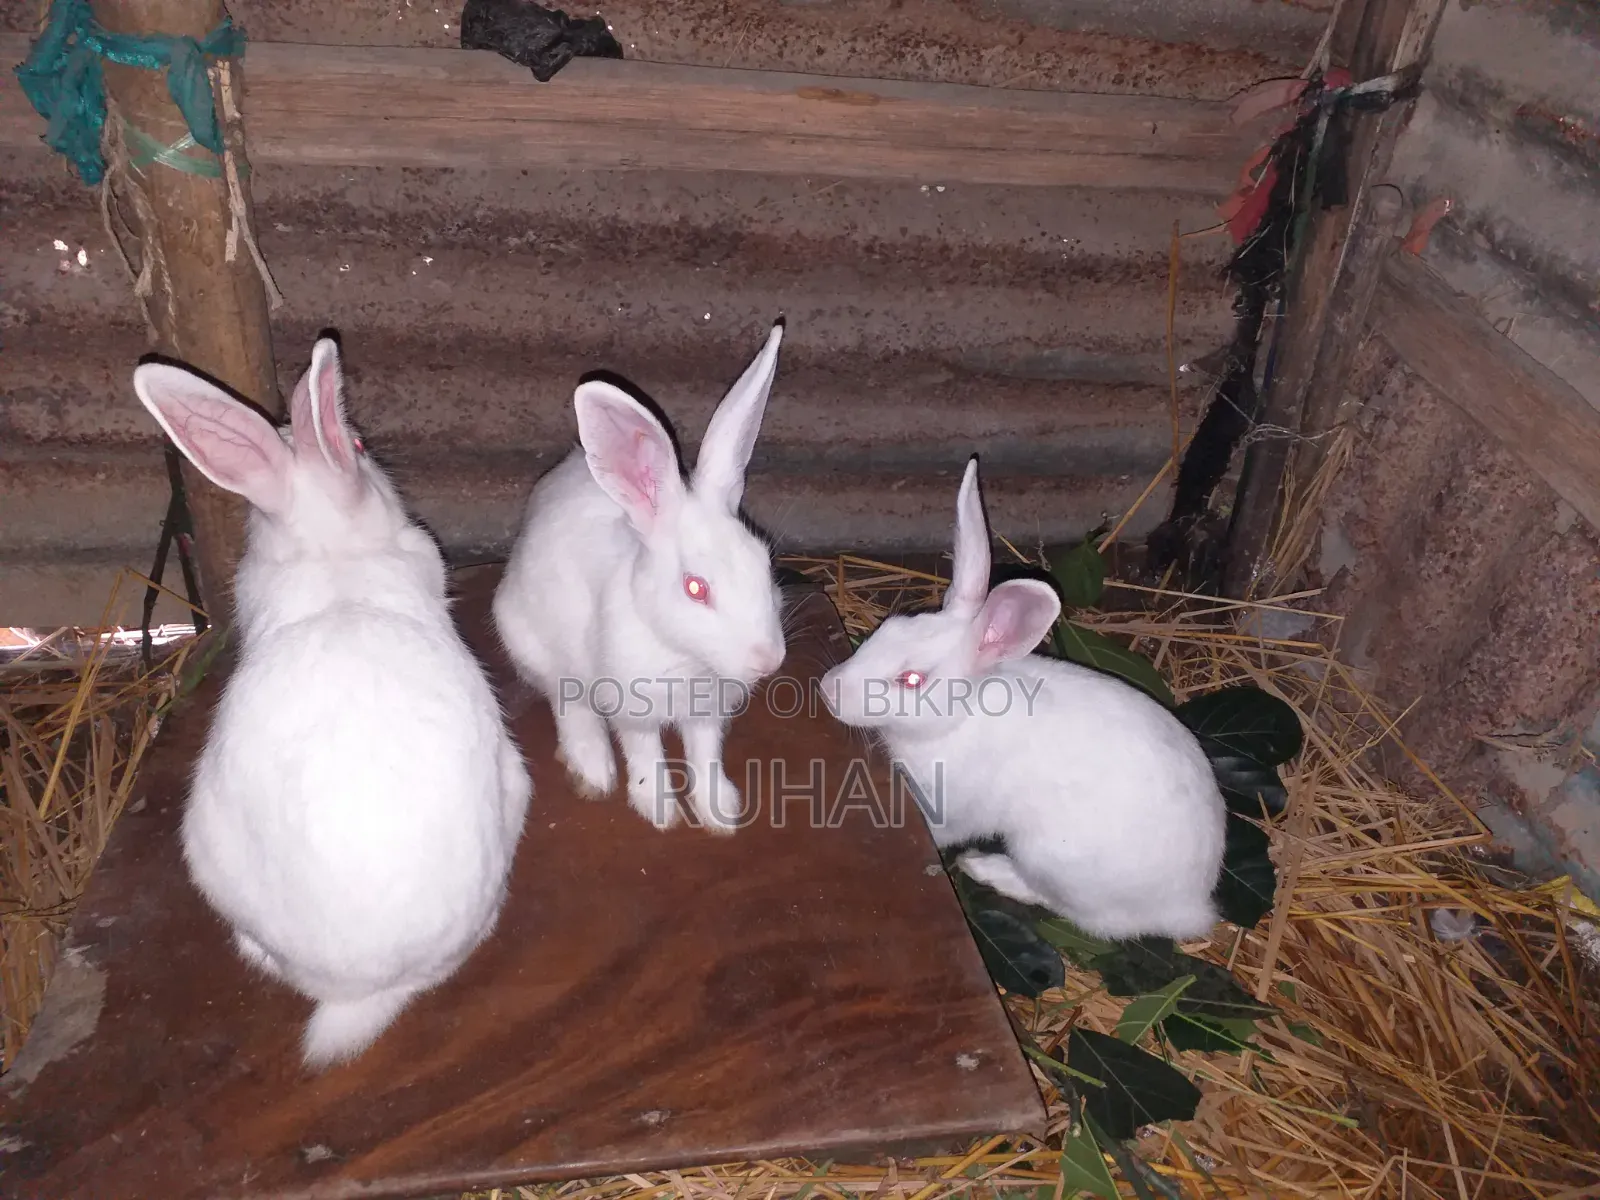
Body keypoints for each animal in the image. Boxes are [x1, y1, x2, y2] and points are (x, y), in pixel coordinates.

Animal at [493, 321, 788, 835]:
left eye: (765, 564)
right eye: (695, 588)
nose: (768, 660)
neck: (688, 658)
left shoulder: (707, 714)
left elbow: (706, 754)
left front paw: (720, 812)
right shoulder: (632, 706)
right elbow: (645, 751)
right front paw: (659, 810)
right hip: (535, 647)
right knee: (567, 704)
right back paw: (592, 769)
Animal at [818, 457, 1227, 941]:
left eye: (913, 679)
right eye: (888, 627)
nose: (828, 688)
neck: (959, 718)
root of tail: (1189, 906)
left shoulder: (953, 808)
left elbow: (942, 831)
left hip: (1051, 858)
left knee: (1079, 913)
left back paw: (987, 869)